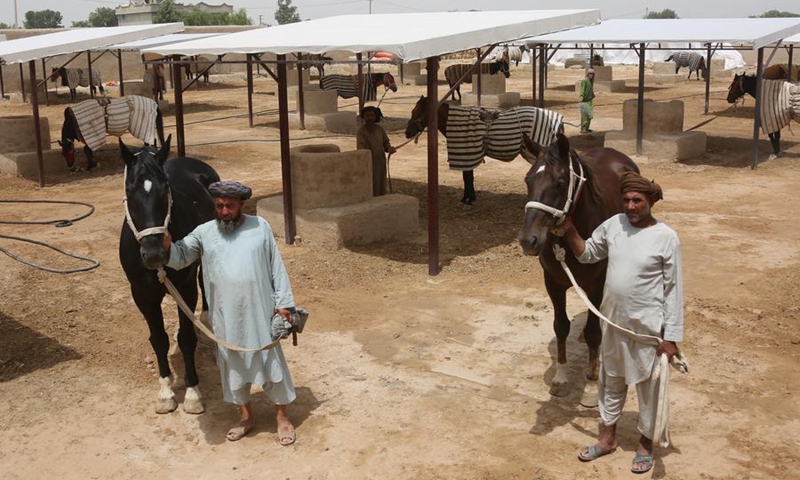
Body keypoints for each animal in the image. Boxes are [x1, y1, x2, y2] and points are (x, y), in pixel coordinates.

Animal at [119, 137, 219, 414]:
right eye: (130, 194)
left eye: (165, 192)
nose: (154, 255)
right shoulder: (142, 295)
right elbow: (159, 340)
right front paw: (165, 392)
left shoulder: (185, 288)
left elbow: (185, 338)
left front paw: (193, 393)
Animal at [406, 94, 564, 205]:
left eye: (416, 112)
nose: (407, 133)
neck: (455, 121)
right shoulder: (468, 156)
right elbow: (468, 177)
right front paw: (469, 198)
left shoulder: (466, 154)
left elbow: (467, 177)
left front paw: (467, 199)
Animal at [516, 133, 640, 404]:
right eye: (528, 180)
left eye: (560, 182)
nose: (529, 240)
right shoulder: (553, 283)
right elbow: (561, 327)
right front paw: (561, 379)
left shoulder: (597, 284)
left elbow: (594, 332)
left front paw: (592, 387)